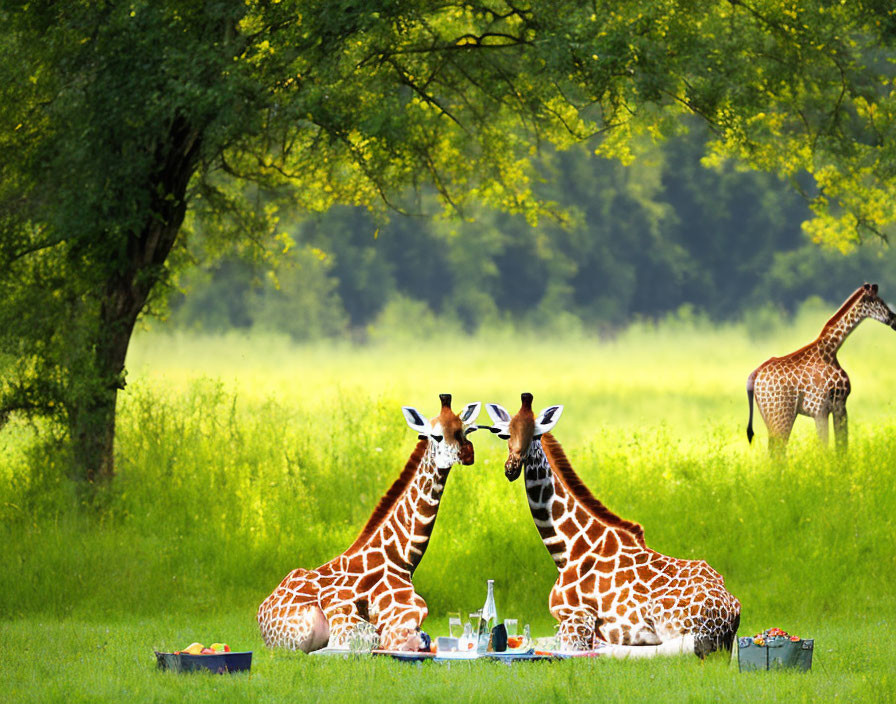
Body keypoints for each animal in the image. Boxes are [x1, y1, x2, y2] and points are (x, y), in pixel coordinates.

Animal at [258, 394, 484, 652]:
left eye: (465, 430)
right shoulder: (395, 616)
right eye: (436, 435)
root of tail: (262, 617)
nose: (467, 453)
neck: (400, 558)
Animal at [484, 394, 744, 656]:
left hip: (673, 626)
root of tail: (734, 609)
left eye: (535, 435)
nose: (512, 467)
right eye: (504, 434)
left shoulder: (577, 619)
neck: (567, 551)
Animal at [748, 284, 896, 454]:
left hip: (771, 418)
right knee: (778, 453)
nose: (894, 319)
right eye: (878, 301)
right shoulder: (824, 409)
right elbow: (831, 448)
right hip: (781, 417)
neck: (830, 350)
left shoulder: (832, 407)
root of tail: (755, 376)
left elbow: (839, 446)